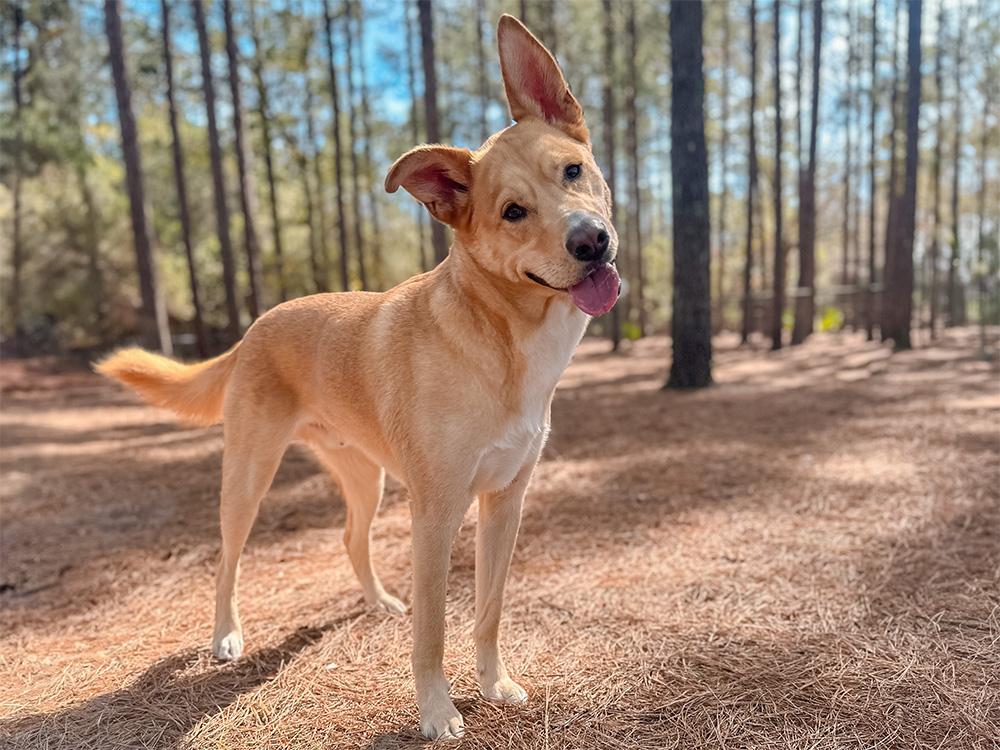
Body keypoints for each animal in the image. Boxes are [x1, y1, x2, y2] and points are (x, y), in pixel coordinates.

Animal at [101, 14, 616, 744]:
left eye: (572, 170)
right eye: (513, 212)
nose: (590, 240)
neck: (501, 337)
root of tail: (257, 325)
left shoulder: (504, 503)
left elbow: (488, 611)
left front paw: (494, 685)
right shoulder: (436, 513)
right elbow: (433, 631)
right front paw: (437, 712)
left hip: (364, 477)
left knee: (350, 538)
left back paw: (377, 603)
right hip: (249, 476)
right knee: (228, 556)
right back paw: (226, 635)